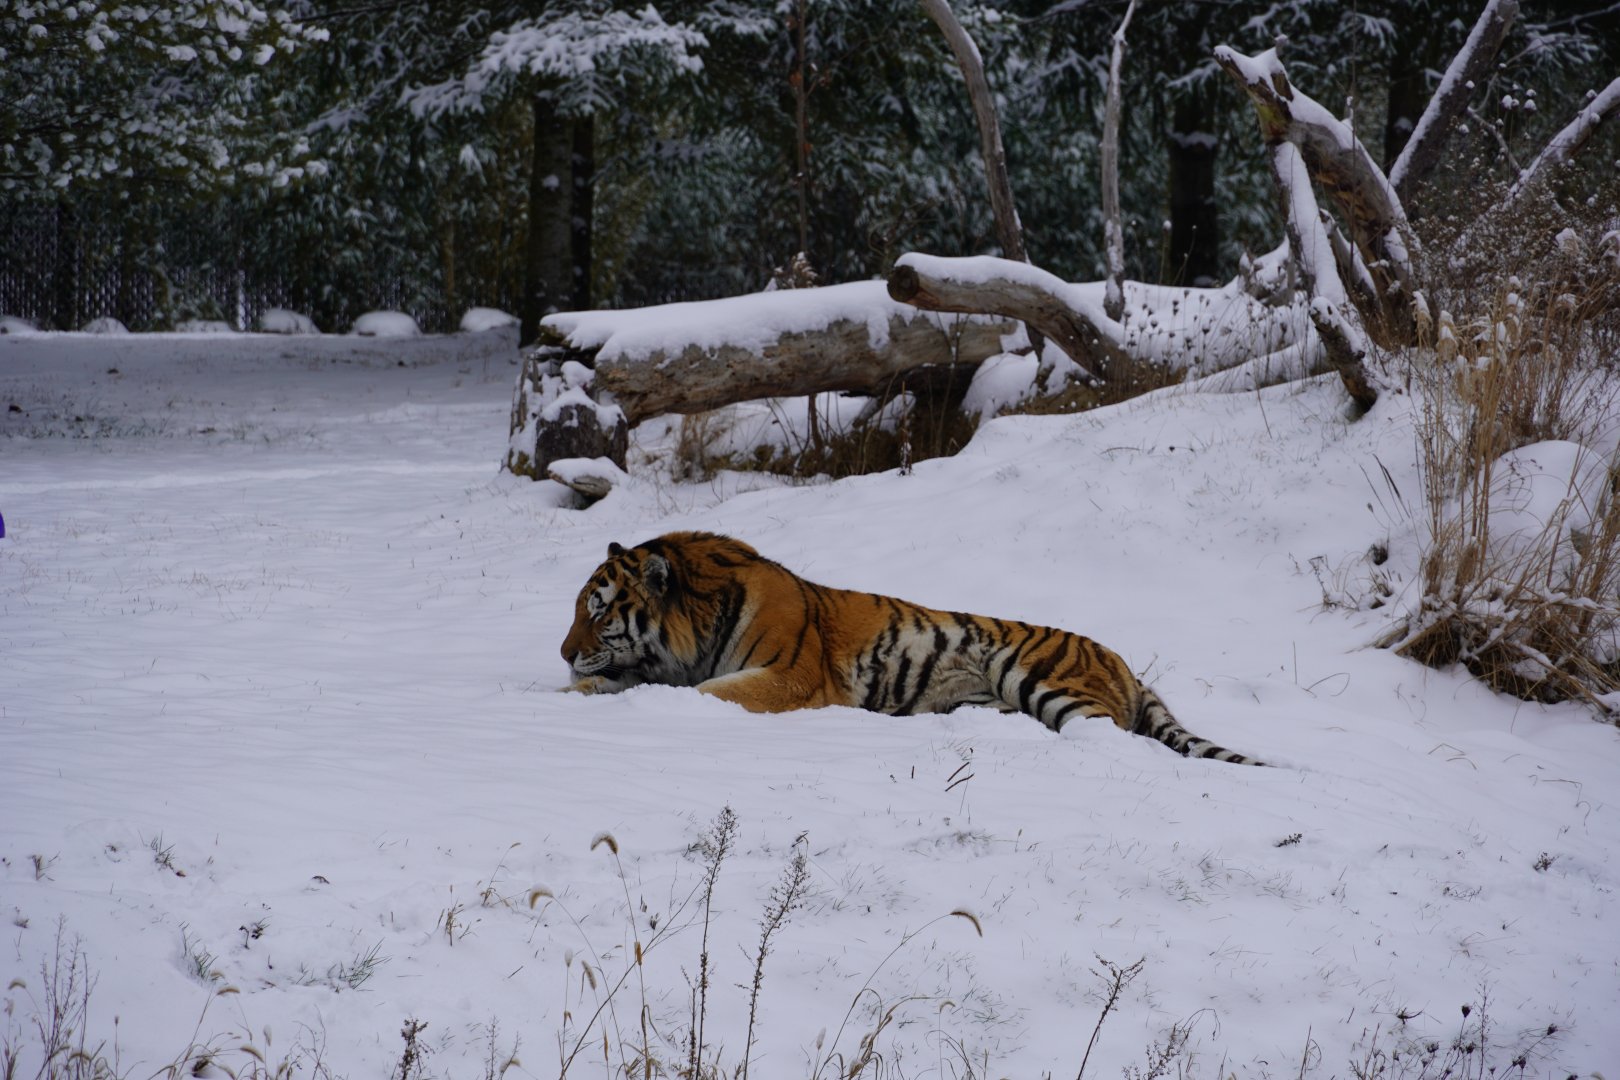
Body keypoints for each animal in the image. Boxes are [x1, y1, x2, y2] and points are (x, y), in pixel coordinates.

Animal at [561, 531, 1264, 766]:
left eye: (598, 610)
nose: (564, 654)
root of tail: (1126, 666)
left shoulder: (788, 677)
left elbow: (714, 695)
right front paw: (585, 689)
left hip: (1042, 678)